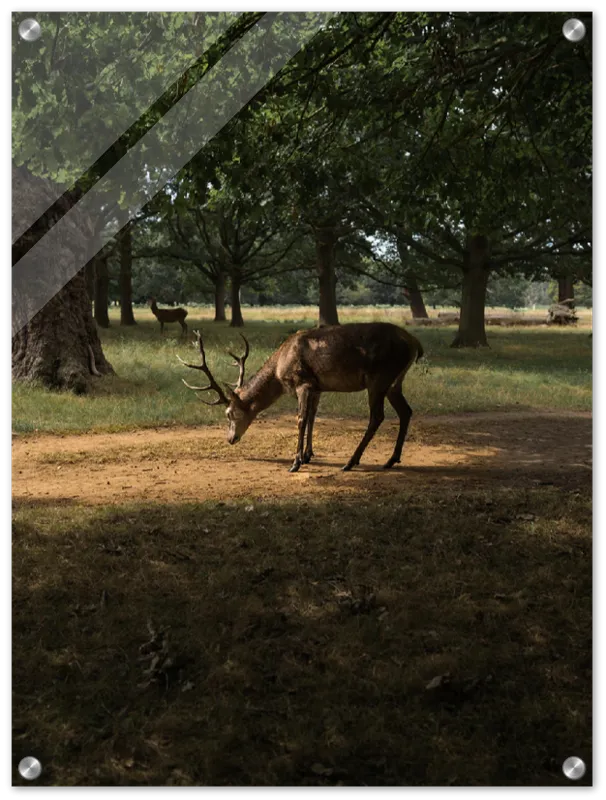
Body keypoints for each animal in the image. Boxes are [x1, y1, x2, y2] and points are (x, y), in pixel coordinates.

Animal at [178, 324, 426, 476]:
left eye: (229, 413)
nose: (230, 439)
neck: (280, 370)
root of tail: (415, 343)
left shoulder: (302, 382)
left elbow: (300, 419)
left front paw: (295, 462)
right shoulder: (317, 387)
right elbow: (312, 418)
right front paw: (308, 455)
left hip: (379, 377)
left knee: (377, 416)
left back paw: (351, 462)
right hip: (394, 382)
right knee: (406, 411)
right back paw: (391, 459)